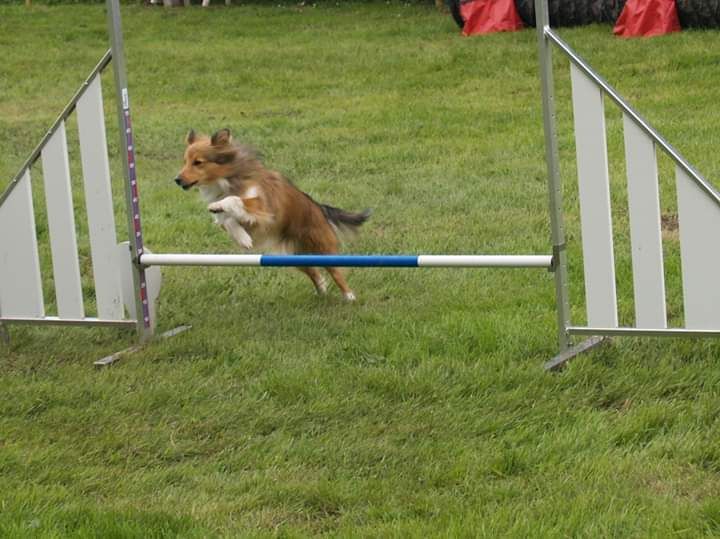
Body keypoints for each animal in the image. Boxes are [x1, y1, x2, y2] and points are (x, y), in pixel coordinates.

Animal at [172, 129, 368, 302]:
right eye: (185, 161)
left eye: (198, 162)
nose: (177, 180)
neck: (230, 179)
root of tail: (320, 208)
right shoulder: (230, 220)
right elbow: (228, 220)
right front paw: (243, 238)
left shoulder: (263, 208)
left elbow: (235, 200)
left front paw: (221, 207)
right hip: (296, 257)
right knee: (314, 271)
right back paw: (321, 289)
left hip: (321, 247)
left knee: (335, 271)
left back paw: (349, 296)